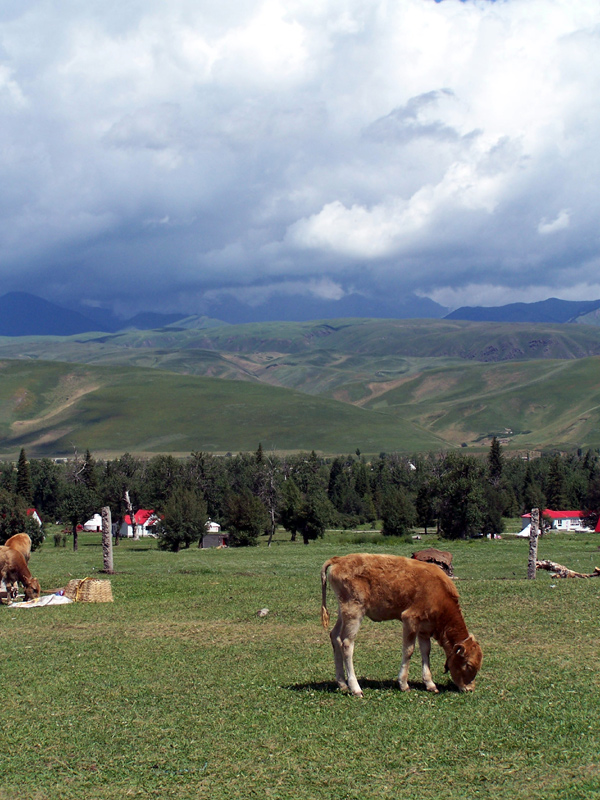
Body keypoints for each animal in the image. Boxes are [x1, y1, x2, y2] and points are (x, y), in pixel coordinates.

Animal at [318, 556, 482, 692]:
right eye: (468, 665)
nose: (470, 689)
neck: (439, 594)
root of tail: (338, 559)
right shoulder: (410, 619)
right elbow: (409, 650)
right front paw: (403, 684)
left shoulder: (424, 628)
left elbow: (426, 651)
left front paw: (430, 684)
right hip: (354, 612)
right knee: (347, 643)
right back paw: (355, 688)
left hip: (343, 612)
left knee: (335, 637)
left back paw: (342, 684)